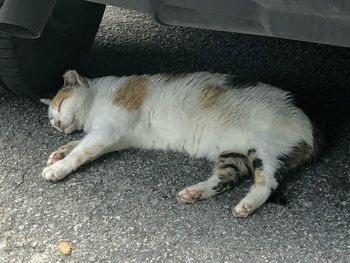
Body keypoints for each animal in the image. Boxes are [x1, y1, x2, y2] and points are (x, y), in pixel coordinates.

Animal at [39, 70, 322, 219]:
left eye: (60, 105)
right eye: (51, 119)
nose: (56, 125)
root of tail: (312, 124)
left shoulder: (108, 130)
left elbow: (81, 151)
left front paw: (57, 168)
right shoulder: (114, 137)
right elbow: (79, 144)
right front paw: (59, 152)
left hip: (263, 147)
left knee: (268, 182)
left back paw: (247, 205)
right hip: (234, 151)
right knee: (227, 178)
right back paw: (194, 192)